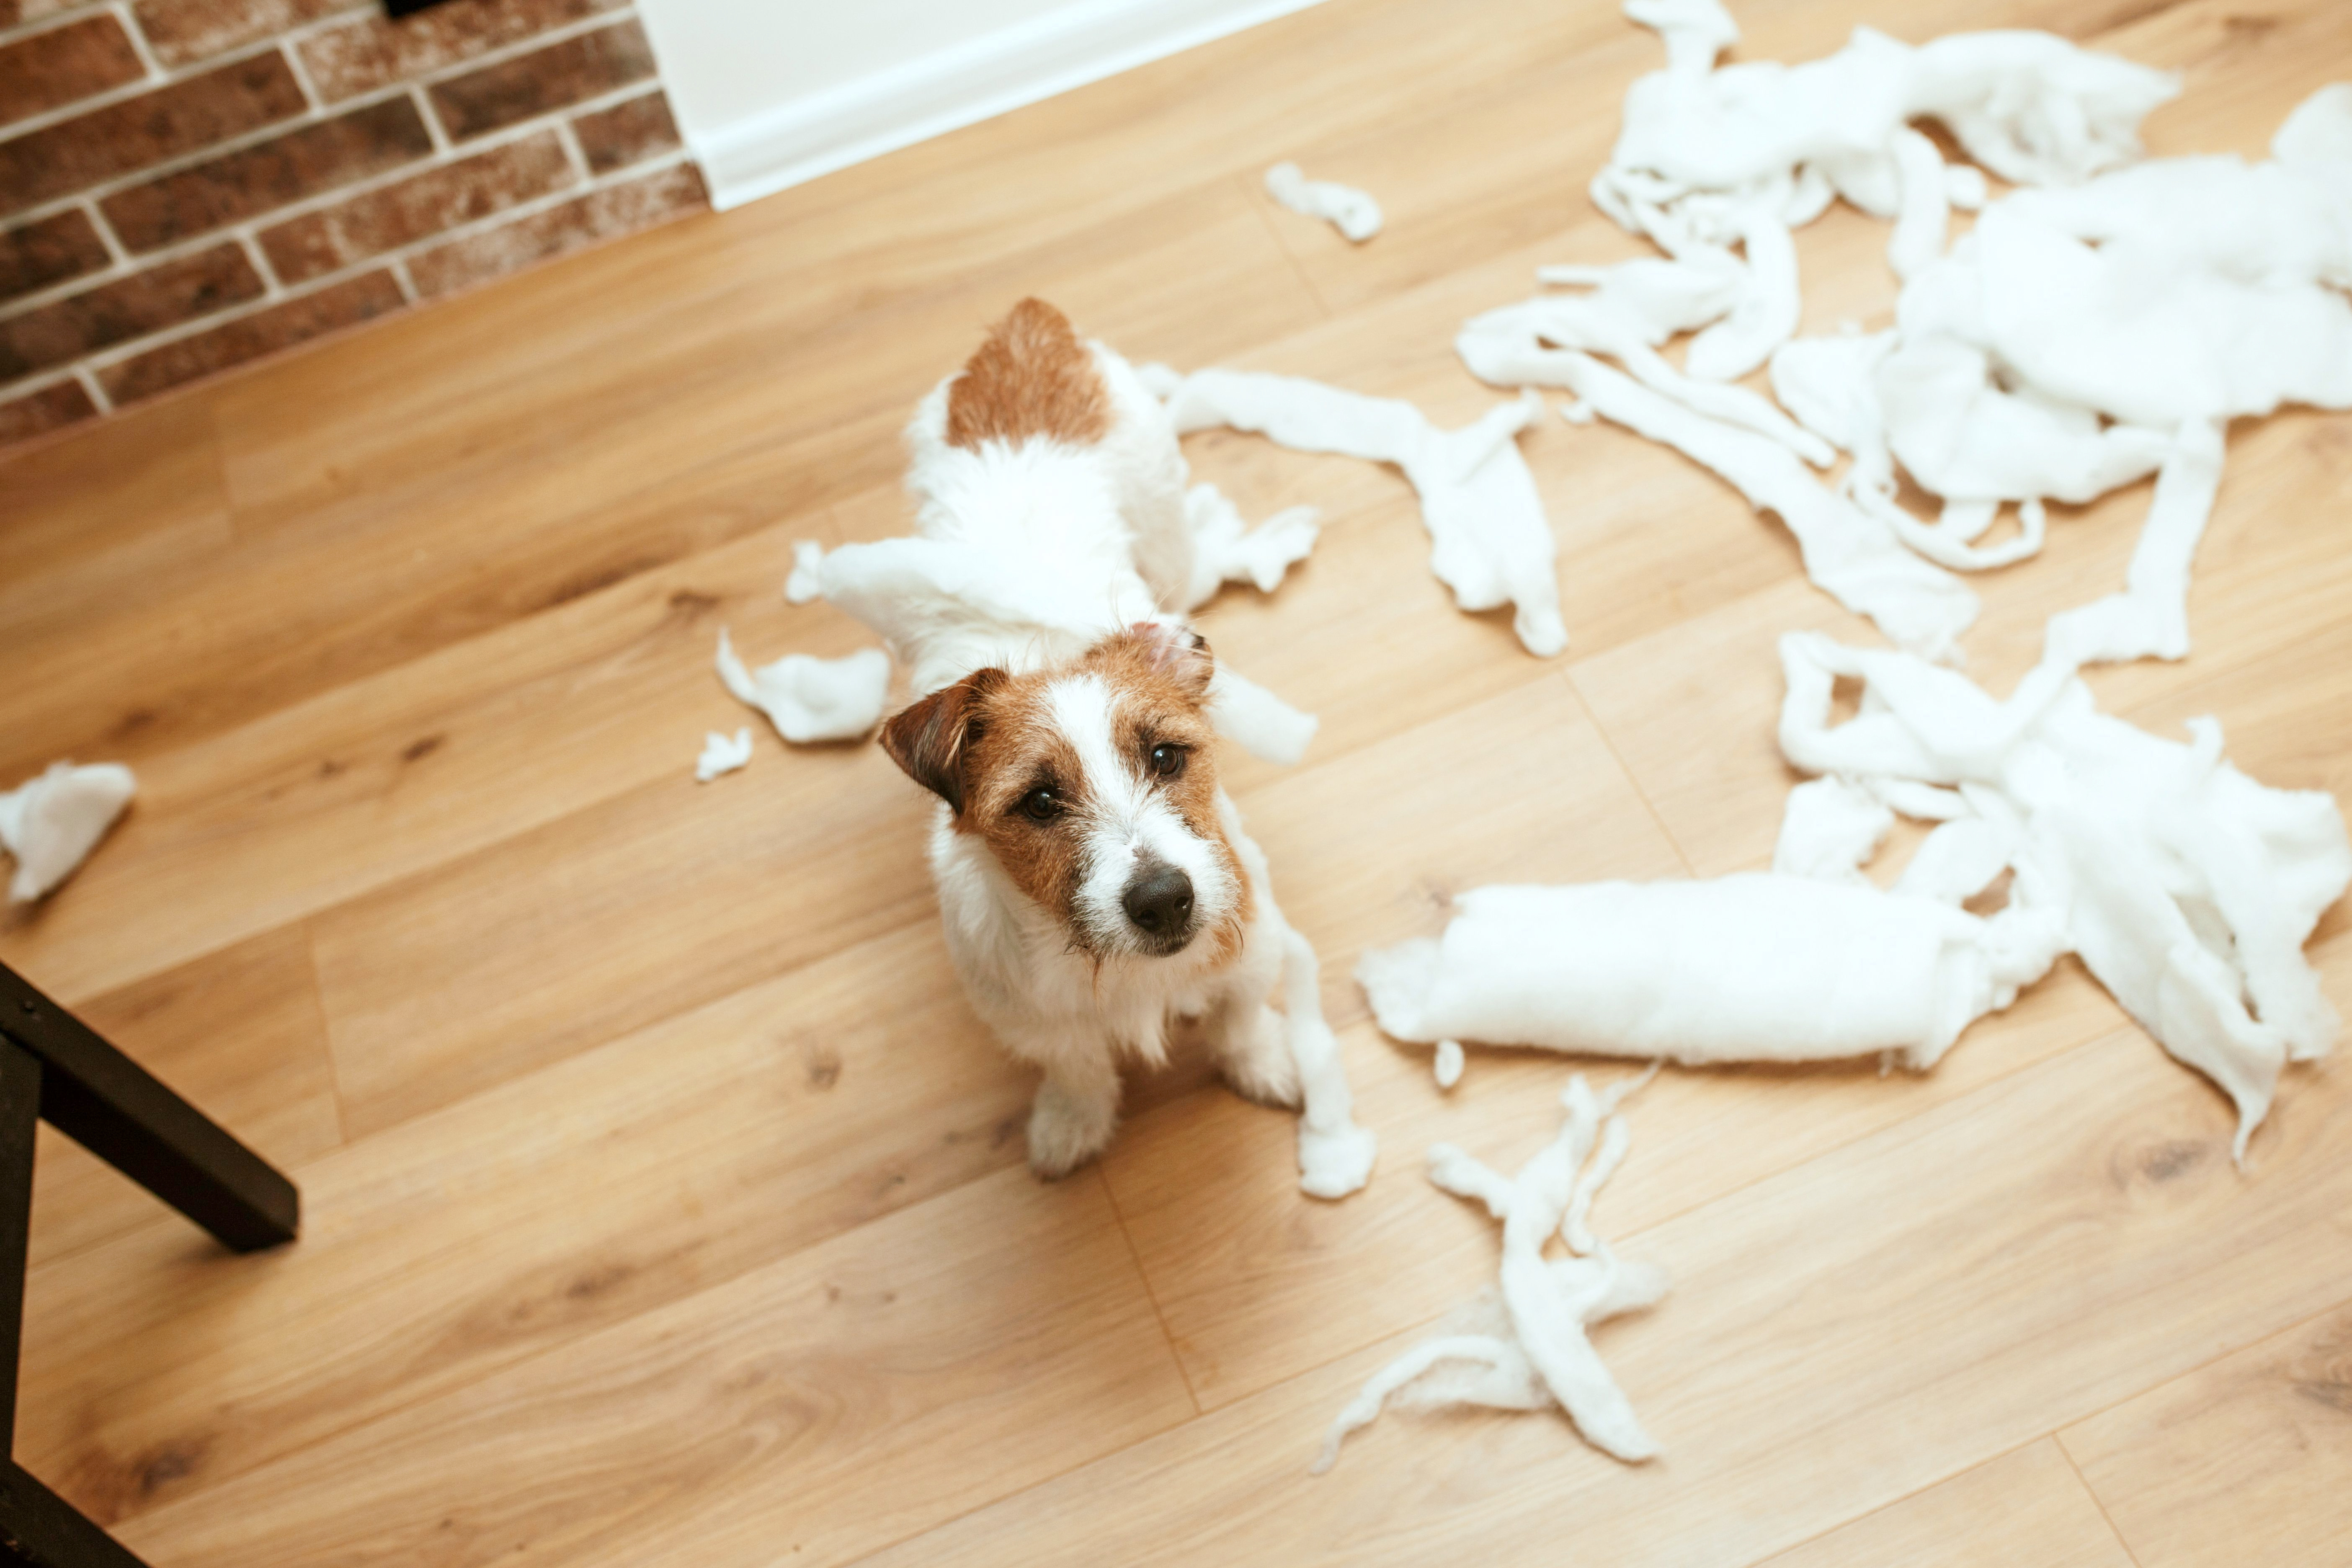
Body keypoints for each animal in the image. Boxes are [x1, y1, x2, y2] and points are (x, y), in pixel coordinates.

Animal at [875, 301, 1308, 1175]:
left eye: (1166, 755)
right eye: (1041, 801)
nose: (1164, 898)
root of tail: (1027, 329)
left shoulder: (1253, 947)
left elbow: (1240, 1017)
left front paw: (1266, 1063)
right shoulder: (1031, 1019)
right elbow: (1076, 1064)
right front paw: (1072, 1123)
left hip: (1165, 534)